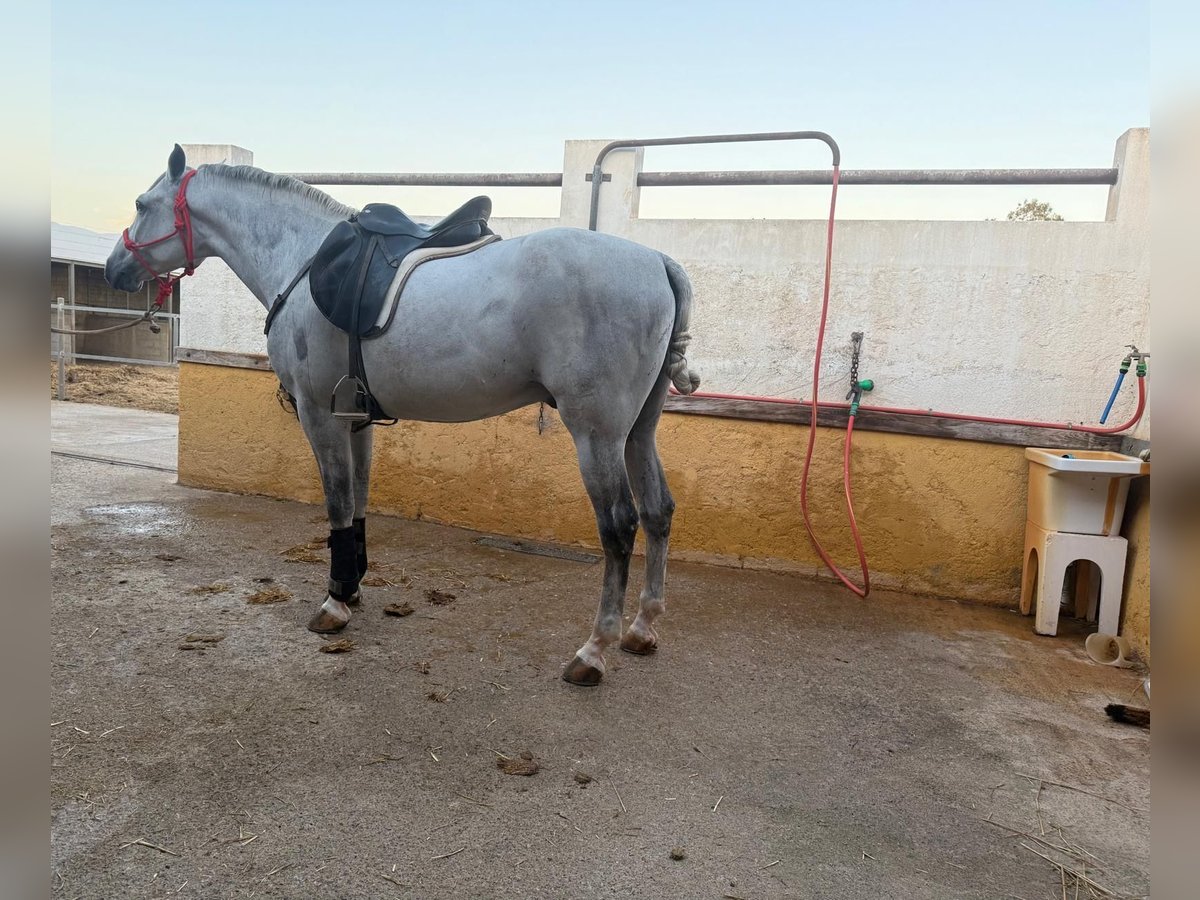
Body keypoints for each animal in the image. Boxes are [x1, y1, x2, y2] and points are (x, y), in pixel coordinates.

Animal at [105, 145, 700, 687]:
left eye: (141, 203)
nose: (115, 268)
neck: (300, 258)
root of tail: (658, 262)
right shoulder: (356, 416)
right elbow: (359, 500)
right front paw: (352, 587)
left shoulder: (319, 414)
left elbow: (337, 501)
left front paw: (333, 603)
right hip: (638, 430)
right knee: (659, 510)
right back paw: (642, 628)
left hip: (597, 433)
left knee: (620, 526)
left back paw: (594, 650)